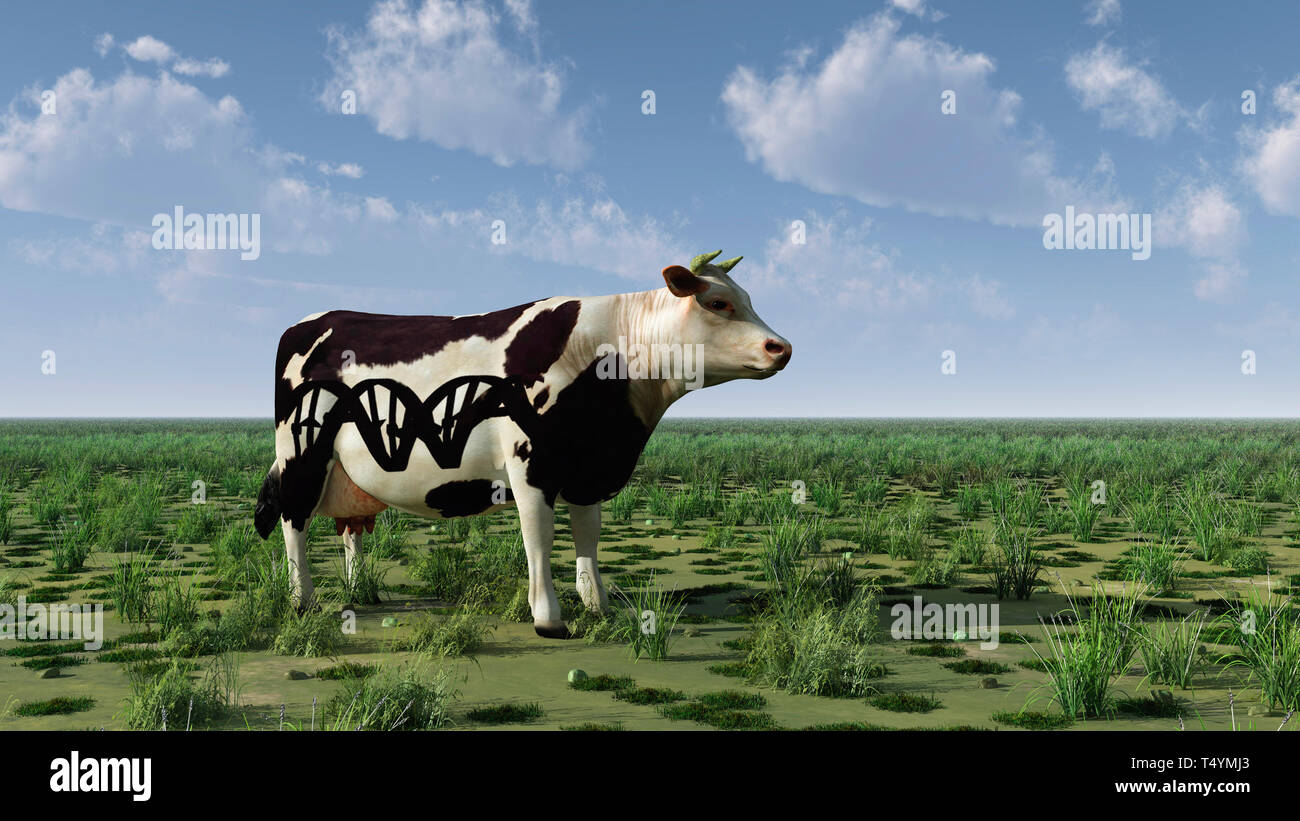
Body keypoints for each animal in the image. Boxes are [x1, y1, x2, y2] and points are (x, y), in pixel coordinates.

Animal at [248, 248, 785, 633]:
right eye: (718, 302)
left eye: (749, 298)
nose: (782, 347)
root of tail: (312, 320)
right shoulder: (532, 464)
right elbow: (539, 536)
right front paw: (549, 617)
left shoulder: (588, 469)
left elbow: (588, 535)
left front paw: (597, 605)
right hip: (301, 454)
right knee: (294, 521)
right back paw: (302, 600)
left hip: (346, 476)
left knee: (350, 530)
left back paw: (360, 594)